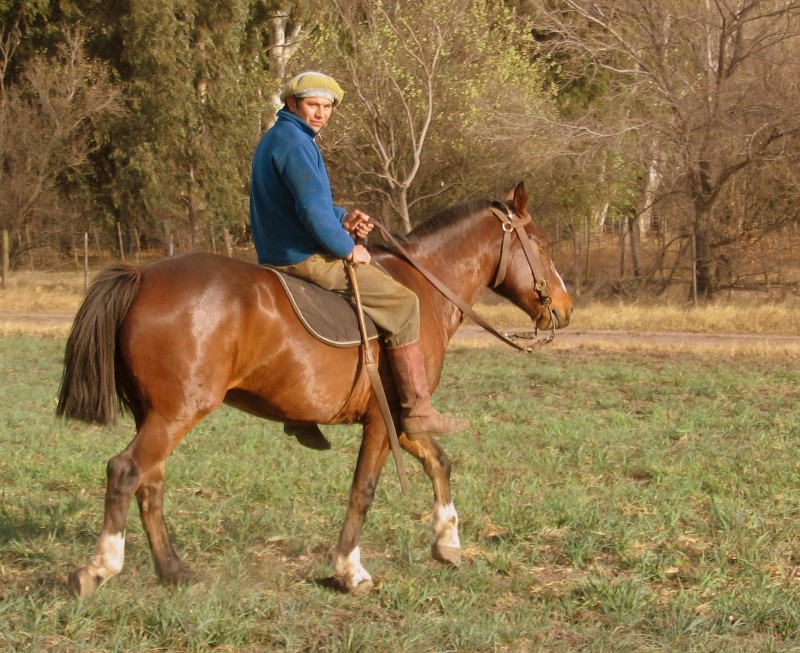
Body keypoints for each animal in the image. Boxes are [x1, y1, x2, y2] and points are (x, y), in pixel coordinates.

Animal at [56, 180, 572, 596]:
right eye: (543, 245)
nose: (564, 309)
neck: (424, 288)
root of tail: (142, 275)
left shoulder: (403, 418)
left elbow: (439, 462)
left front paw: (447, 540)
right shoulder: (382, 423)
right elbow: (363, 490)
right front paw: (350, 570)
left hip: (159, 416)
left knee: (150, 483)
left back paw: (173, 570)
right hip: (176, 414)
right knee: (125, 471)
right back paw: (100, 568)